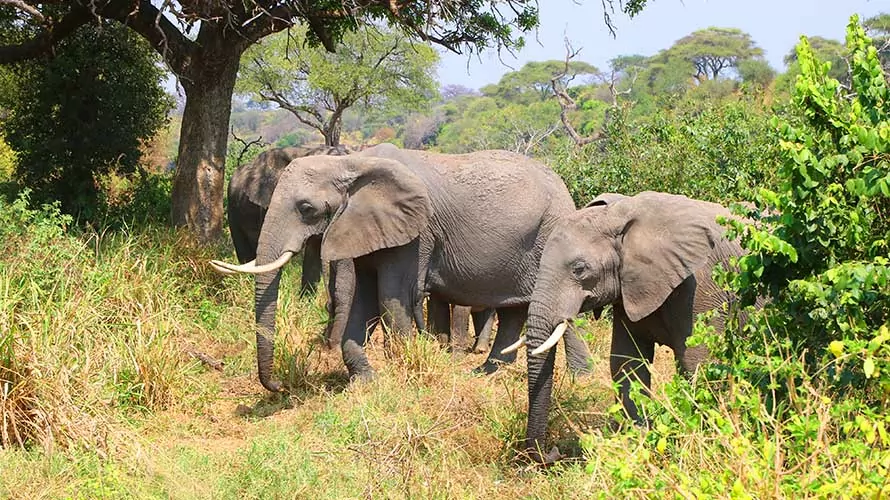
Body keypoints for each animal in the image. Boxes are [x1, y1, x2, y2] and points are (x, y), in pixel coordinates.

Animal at [212, 142, 592, 390]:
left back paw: (580, 378)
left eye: (306, 208)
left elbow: (390, 296)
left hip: (551, 233)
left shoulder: (416, 233)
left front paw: (402, 375)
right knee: (514, 310)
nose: (278, 385)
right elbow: (363, 298)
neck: (353, 163)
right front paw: (363, 383)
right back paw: (486, 372)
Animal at [516, 192, 752, 464]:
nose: (554, 452)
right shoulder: (628, 289)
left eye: (580, 269)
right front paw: (637, 445)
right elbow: (627, 363)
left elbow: (697, 361)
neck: (619, 216)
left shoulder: (702, 286)